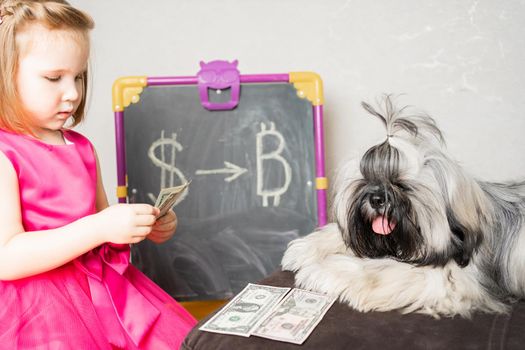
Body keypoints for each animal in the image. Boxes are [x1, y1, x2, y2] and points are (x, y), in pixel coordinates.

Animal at [282, 95, 524, 318]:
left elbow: (379, 271)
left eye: (401, 185)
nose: (376, 199)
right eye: (366, 180)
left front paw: (323, 269)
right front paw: (306, 248)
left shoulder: (450, 281)